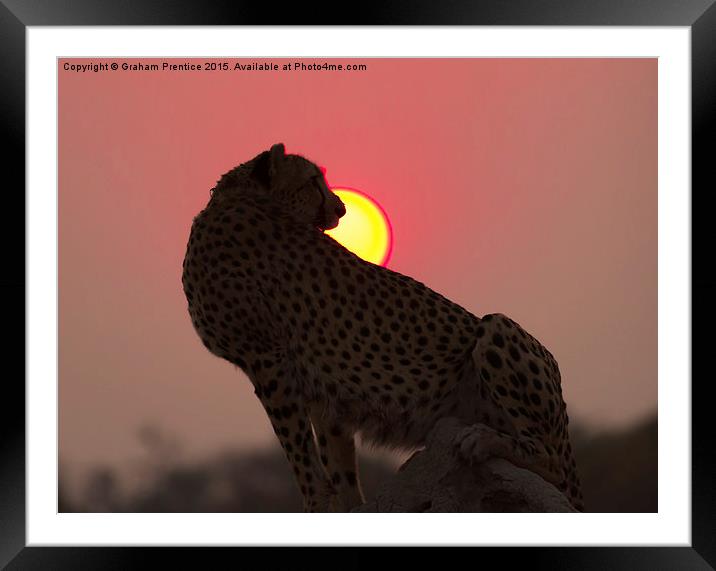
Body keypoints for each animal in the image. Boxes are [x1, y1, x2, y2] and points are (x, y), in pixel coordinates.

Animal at [182, 143, 584, 512]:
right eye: (312, 181)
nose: (341, 208)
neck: (230, 200)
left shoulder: (268, 359)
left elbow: (298, 452)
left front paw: (315, 502)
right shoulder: (316, 383)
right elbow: (334, 460)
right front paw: (343, 507)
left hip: (497, 330)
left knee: (550, 460)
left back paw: (483, 440)